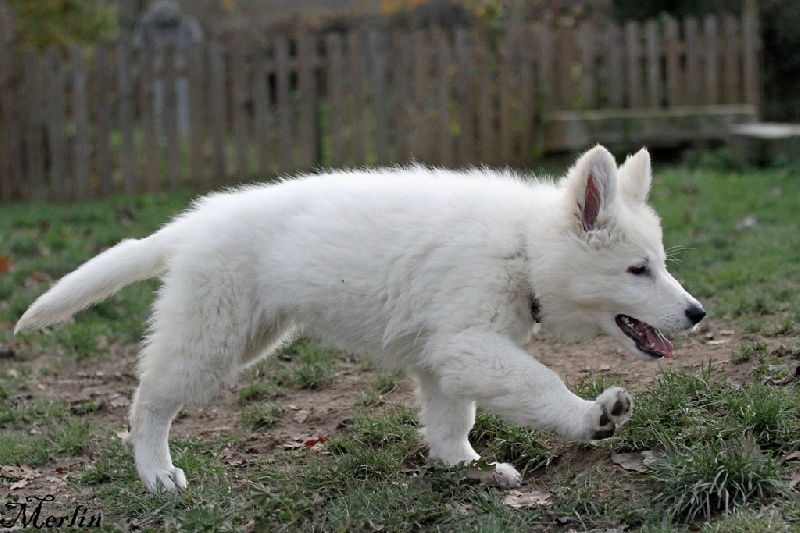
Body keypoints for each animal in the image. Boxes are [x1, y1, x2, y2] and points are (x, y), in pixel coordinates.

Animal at [15, 144, 704, 490]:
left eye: (662, 263)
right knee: (148, 402)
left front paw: (461, 465)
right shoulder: (468, 344)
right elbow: (541, 384)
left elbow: (453, 418)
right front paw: (593, 417)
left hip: (249, 335)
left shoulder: (445, 357)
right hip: (211, 339)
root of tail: (190, 224)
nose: (697, 313)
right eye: (637, 270)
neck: (524, 247)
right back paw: (157, 473)